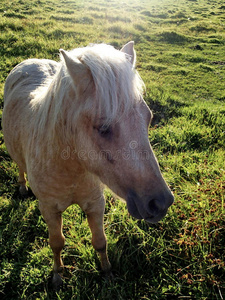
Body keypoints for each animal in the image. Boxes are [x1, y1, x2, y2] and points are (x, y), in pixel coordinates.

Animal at [2, 41, 174, 288]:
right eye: (102, 128)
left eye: (148, 117)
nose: (160, 202)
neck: (71, 169)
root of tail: (29, 61)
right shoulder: (50, 209)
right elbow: (57, 243)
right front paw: (57, 275)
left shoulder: (95, 204)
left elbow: (100, 241)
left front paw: (107, 273)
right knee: (20, 167)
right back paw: (23, 187)